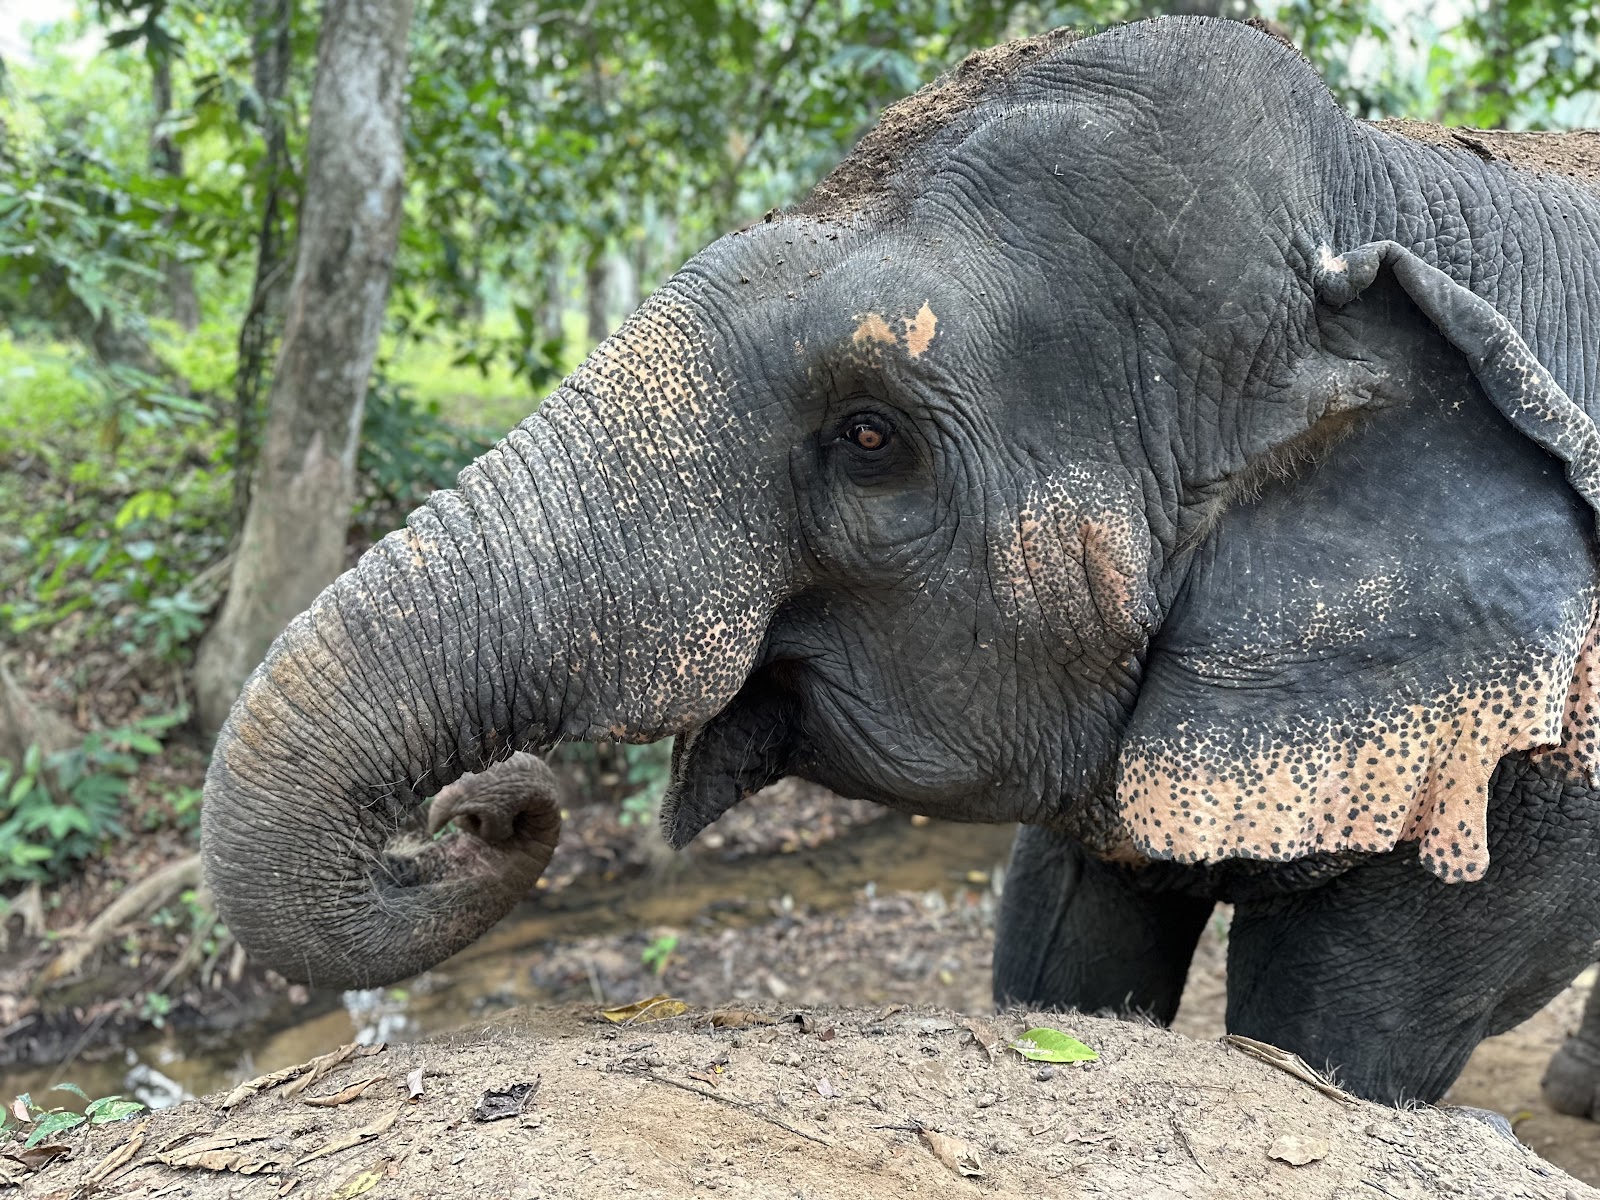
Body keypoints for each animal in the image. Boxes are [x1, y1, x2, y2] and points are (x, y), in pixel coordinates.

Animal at [201, 16, 1600, 1108]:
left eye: (870, 439)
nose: (488, 806)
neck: (1379, 186)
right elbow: (1061, 940)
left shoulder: (1536, 774)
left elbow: (1337, 1032)